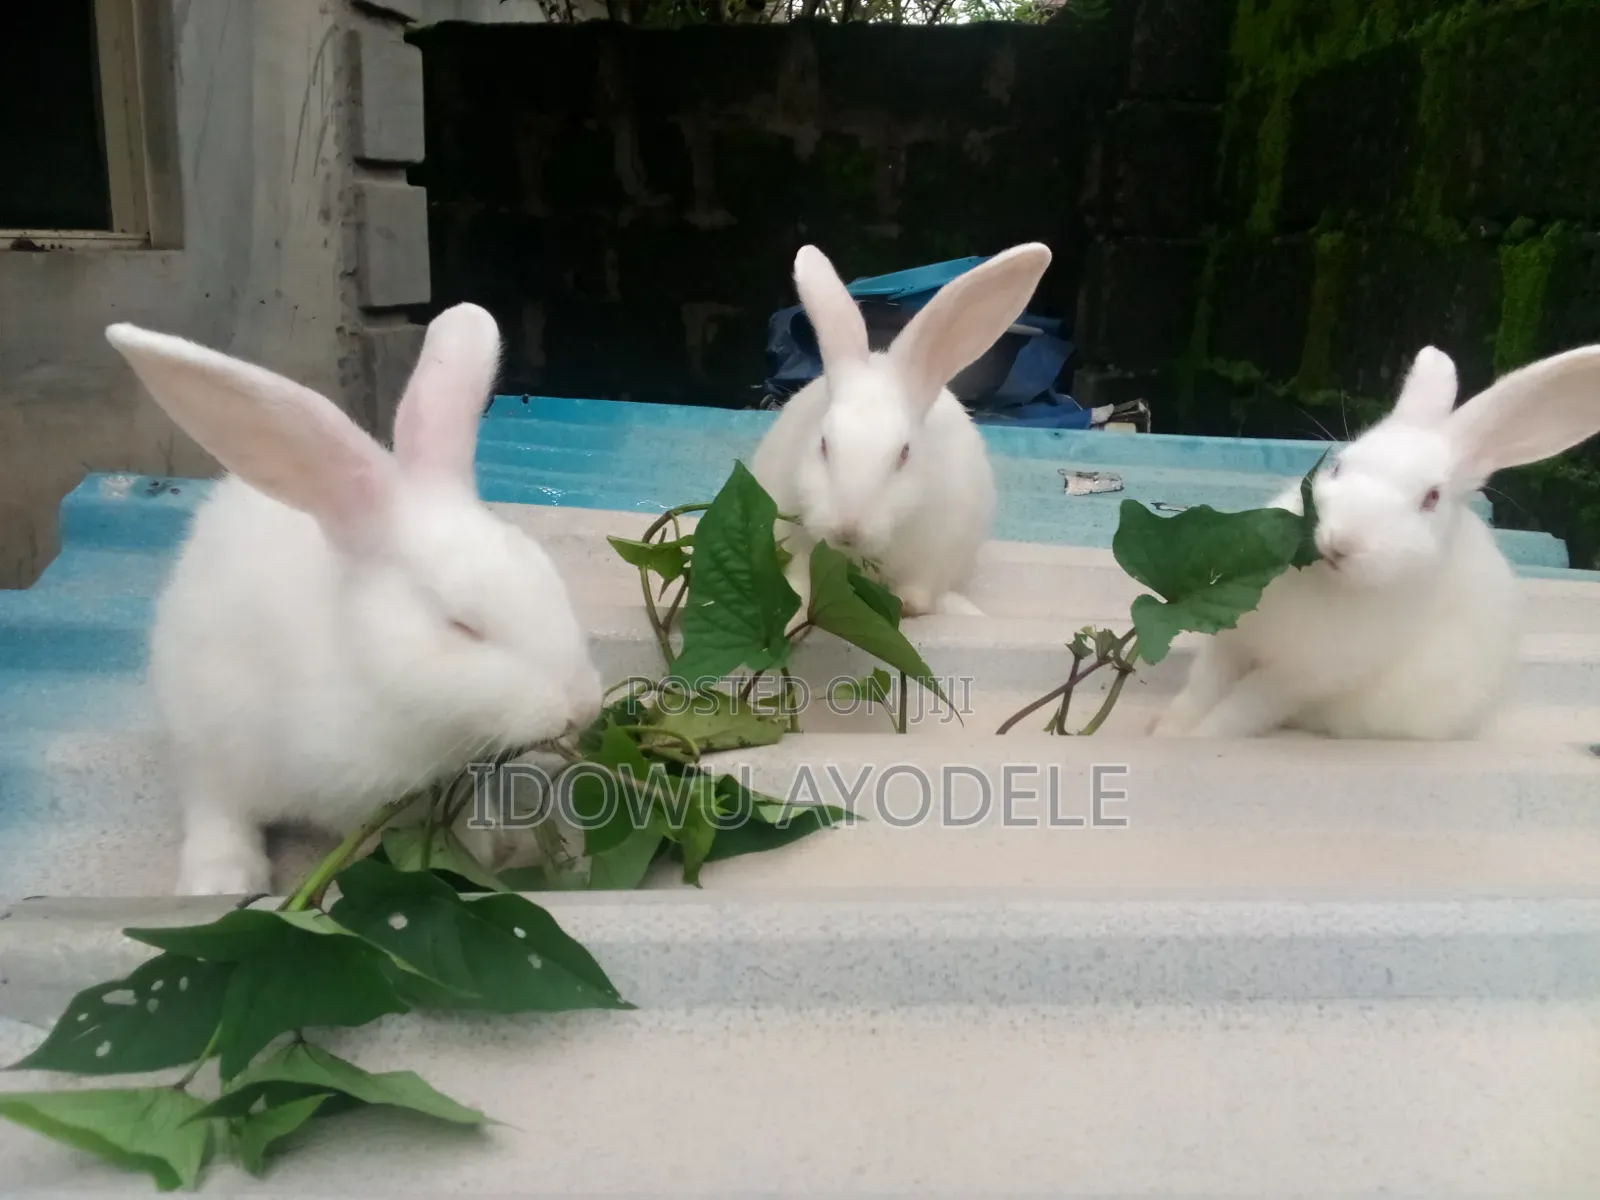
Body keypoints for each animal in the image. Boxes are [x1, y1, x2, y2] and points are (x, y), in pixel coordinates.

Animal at [105, 304, 605, 895]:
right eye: (462, 625)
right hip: (203, 729)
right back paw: (223, 881)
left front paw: (488, 850)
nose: (583, 706)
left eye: (549, 576)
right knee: (216, 806)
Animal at [749, 241, 1052, 625]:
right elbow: (800, 578)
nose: (847, 529)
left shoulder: (937, 553)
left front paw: (908, 604)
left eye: (904, 453)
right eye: (823, 445)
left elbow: (920, 592)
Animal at [1152, 341, 1600, 741]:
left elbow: (1241, 708)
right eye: (1338, 465)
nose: (1342, 541)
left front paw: (1199, 737)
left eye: (1431, 498)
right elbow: (1201, 688)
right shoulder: (1233, 637)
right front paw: (1168, 730)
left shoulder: (1299, 679)